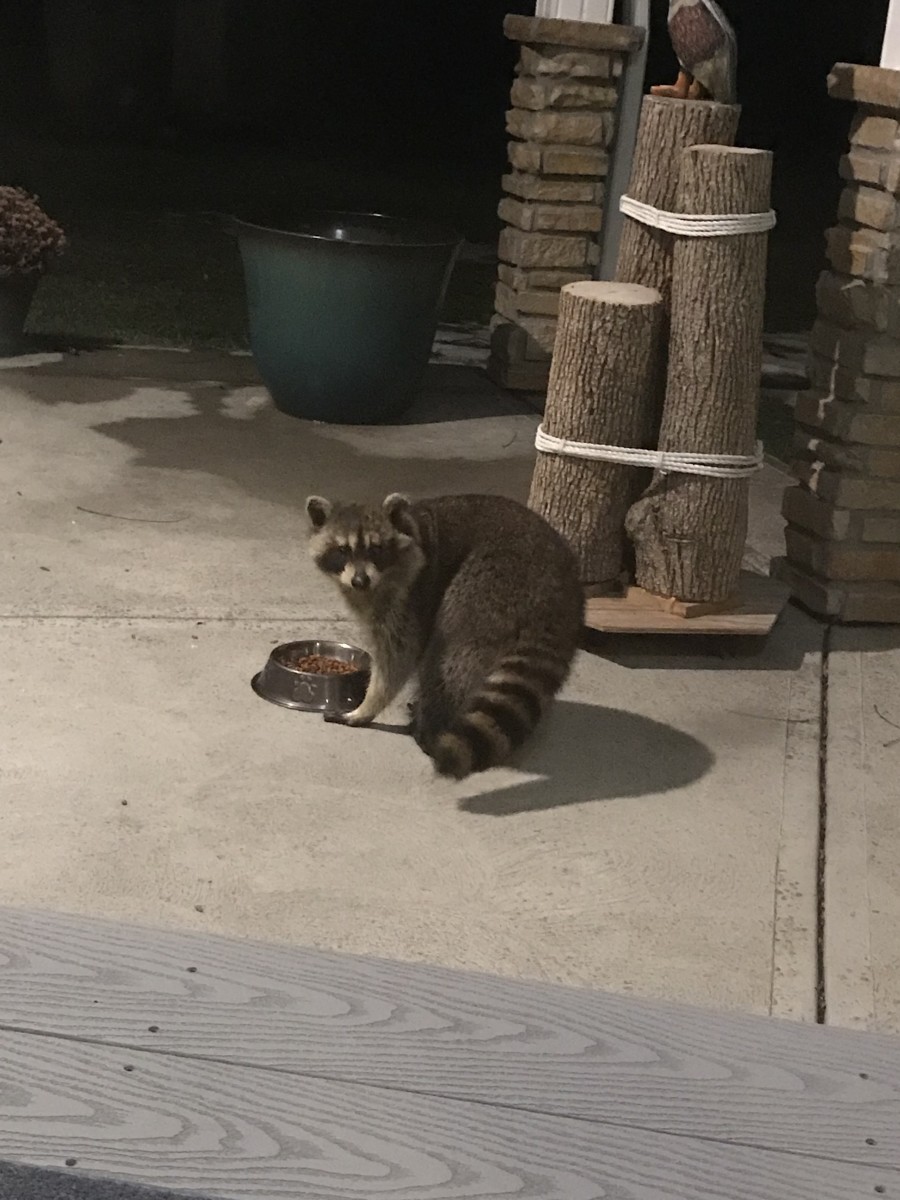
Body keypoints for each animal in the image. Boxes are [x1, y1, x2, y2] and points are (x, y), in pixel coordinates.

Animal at [303, 492, 585, 782]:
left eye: (376, 549)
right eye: (342, 551)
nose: (360, 581)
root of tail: (557, 591)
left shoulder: (411, 593)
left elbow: (399, 654)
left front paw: (366, 707)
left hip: (489, 585)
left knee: (449, 657)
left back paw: (432, 724)